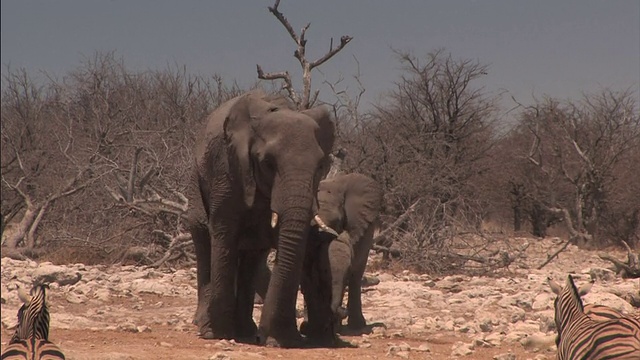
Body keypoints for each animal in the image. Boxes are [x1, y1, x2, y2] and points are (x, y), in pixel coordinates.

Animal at [185, 89, 336, 346]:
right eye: (268, 163)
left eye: (321, 166)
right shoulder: (227, 167)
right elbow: (224, 231)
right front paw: (216, 334)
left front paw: (280, 340)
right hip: (197, 176)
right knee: (203, 236)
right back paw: (205, 324)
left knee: (253, 254)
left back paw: (245, 330)